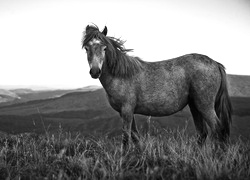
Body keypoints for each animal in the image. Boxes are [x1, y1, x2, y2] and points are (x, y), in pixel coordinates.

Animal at [81, 24, 232, 152]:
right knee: (202, 133)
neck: (121, 74)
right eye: (86, 48)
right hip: (195, 106)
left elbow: (126, 137)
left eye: (104, 48)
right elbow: (135, 136)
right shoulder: (126, 112)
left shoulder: (127, 110)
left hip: (205, 106)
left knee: (217, 129)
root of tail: (216, 63)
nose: (95, 71)